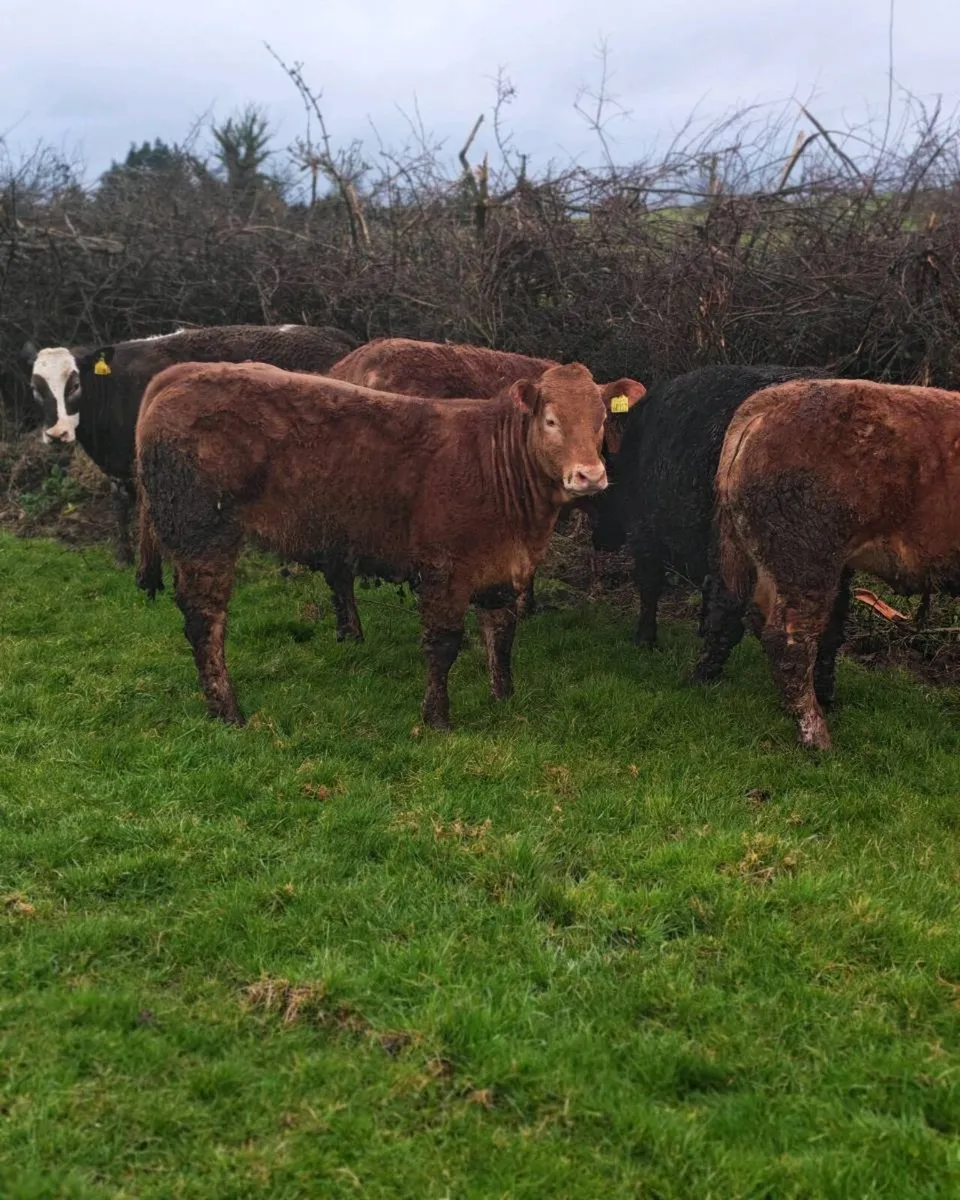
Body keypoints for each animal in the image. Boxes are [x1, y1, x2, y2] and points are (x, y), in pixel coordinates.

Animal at [22, 324, 357, 564]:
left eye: (75, 384)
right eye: (35, 388)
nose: (56, 433)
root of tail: (331, 334)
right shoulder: (117, 465)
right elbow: (120, 505)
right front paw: (123, 556)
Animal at [135, 360, 610, 730]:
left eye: (601, 420)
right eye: (551, 421)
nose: (589, 475)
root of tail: (183, 372)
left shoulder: (501, 565)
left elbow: (502, 635)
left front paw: (504, 698)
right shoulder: (445, 567)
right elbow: (443, 643)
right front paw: (437, 719)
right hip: (203, 534)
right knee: (205, 621)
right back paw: (228, 711)